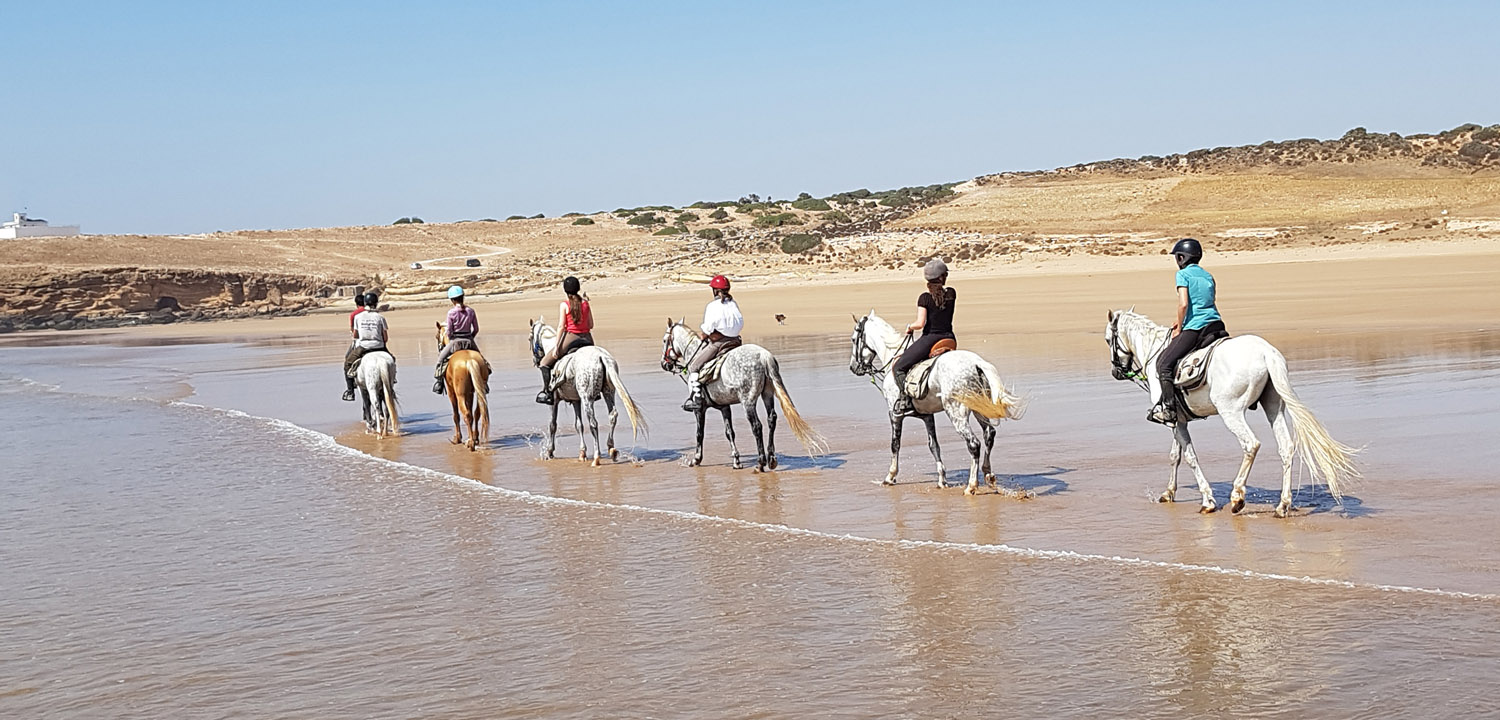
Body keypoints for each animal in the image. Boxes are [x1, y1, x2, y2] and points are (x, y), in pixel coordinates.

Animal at [435, 323, 490, 451]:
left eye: (436, 336)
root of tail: (470, 361)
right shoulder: (470, 393)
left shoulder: (451, 392)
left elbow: (456, 415)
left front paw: (457, 438)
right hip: (479, 391)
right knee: (476, 412)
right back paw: (474, 438)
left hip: (460, 395)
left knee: (466, 414)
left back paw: (470, 443)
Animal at [528, 318, 647, 466]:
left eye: (529, 338)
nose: (535, 361)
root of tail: (601, 356)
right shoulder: (575, 400)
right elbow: (578, 425)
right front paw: (582, 453)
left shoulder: (554, 401)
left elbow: (552, 425)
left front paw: (549, 451)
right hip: (608, 392)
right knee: (612, 415)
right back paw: (611, 449)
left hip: (587, 398)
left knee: (593, 423)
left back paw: (596, 457)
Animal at [660, 319, 827, 471]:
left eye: (664, 340)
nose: (664, 364)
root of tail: (763, 356)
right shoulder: (724, 407)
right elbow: (729, 433)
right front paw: (736, 460)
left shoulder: (699, 408)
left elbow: (699, 433)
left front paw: (696, 459)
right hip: (767, 394)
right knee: (771, 419)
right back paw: (771, 459)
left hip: (748, 401)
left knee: (757, 426)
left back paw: (760, 463)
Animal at [849, 313, 1025, 493]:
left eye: (854, 339)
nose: (853, 367)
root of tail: (977, 363)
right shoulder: (928, 416)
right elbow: (934, 445)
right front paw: (942, 480)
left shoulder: (894, 414)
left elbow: (895, 444)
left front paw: (890, 477)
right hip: (979, 407)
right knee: (989, 434)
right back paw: (988, 475)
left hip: (955, 412)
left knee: (973, 444)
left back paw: (971, 486)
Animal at [1105, 309, 1360, 516]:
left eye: (1108, 340)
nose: (1116, 372)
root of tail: (1266, 352)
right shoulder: (1178, 420)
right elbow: (1175, 456)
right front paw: (1169, 493)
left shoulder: (1175, 421)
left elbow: (1190, 458)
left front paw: (1207, 500)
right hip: (1273, 406)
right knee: (1286, 447)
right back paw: (1283, 505)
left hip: (1231, 412)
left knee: (1251, 444)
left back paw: (1237, 497)